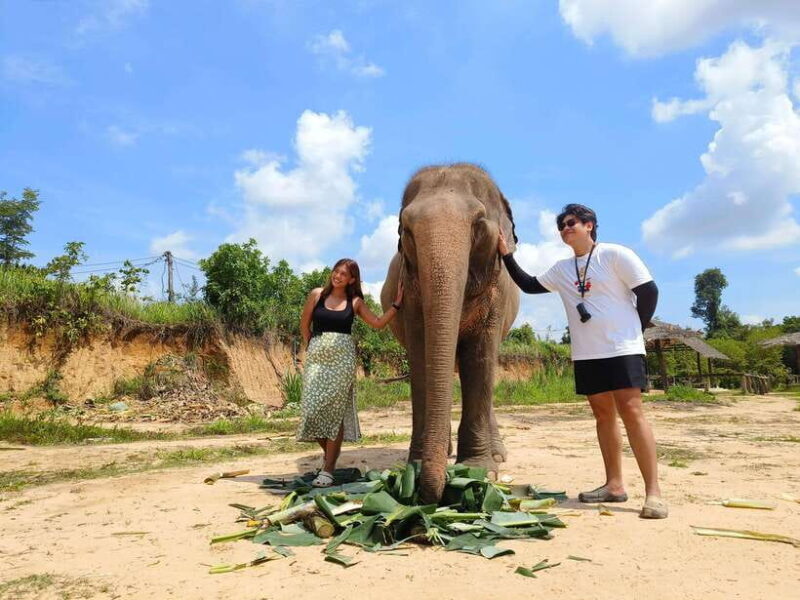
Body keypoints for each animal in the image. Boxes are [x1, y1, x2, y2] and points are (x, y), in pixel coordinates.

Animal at [380, 163, 520, 504]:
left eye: (479, 223)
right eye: (406, 229)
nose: (431, 491)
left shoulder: (496, 294)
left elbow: (480, 359)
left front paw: (480, 471)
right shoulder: (410, 292)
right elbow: (421, 357)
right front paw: (416, 465)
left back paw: (497, 455)